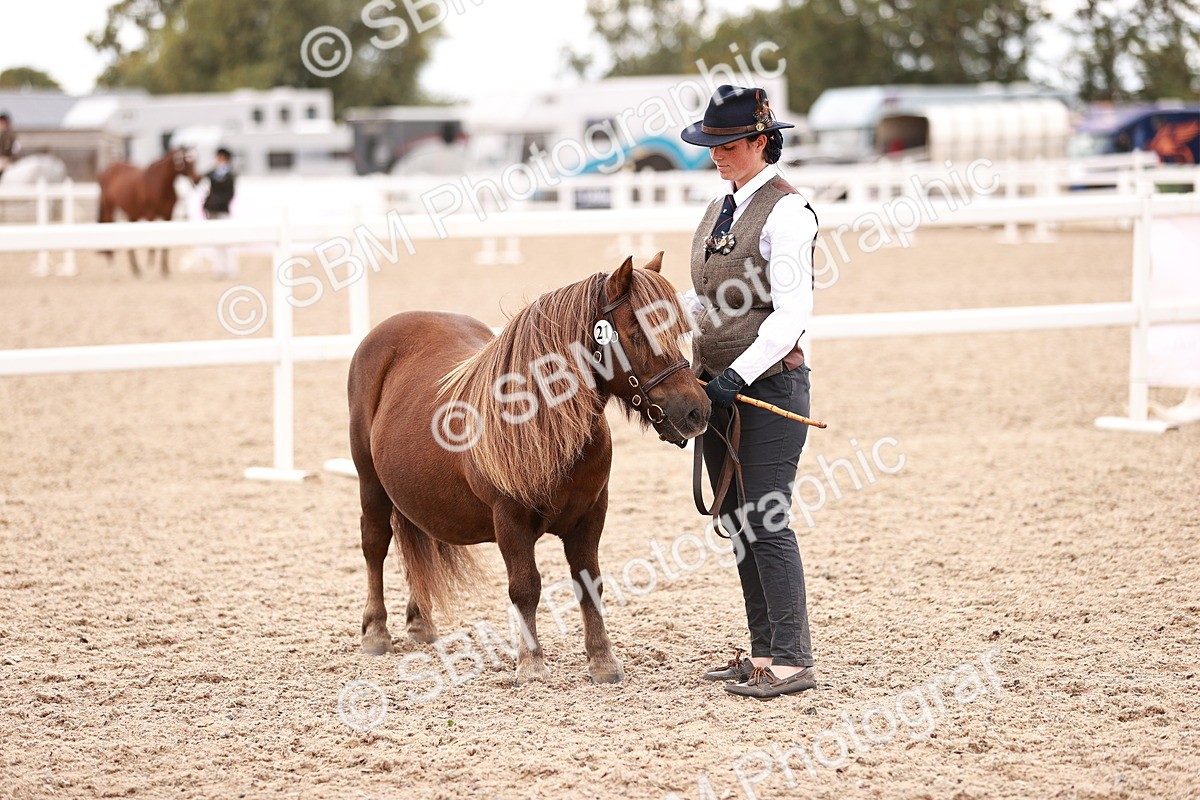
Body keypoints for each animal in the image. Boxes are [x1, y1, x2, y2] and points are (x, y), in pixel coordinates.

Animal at [97, 148, 199, 277]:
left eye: (194, 160)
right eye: (185, 161)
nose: (197, 178)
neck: (161, 184)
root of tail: (106, 170)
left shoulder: (168, 216)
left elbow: (166, 243)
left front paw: (165, 269)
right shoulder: (150, 215)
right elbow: (152, 243)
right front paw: (151, 267)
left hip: (132, 214)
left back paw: (136, 269)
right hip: (109, 207)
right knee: (107, 225)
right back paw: (113, 267)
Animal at [347, 253, 710, 685]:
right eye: (636, 331)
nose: (697, 411)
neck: (543, 423)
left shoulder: (591, 515)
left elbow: (589, 583)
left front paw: (603, 661)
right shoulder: (510, 521)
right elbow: (525, 587)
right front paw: (531, 663)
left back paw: (420, 623)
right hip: (369, 483)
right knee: (374, 544)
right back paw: (375, 632)